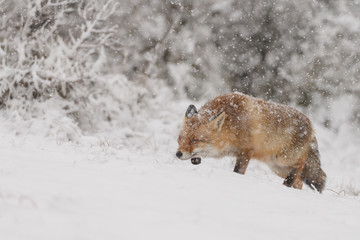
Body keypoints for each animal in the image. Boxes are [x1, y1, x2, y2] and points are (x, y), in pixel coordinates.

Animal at [176, 93, 326, 192]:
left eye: (195, 140)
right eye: (180, 138)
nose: (178, 154)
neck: (232, 124)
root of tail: (311, 125)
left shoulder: (246, 151)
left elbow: (238, 171)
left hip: (284, 160)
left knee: (301, 165)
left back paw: (287, 184)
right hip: (277, 167)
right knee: (299, 182)